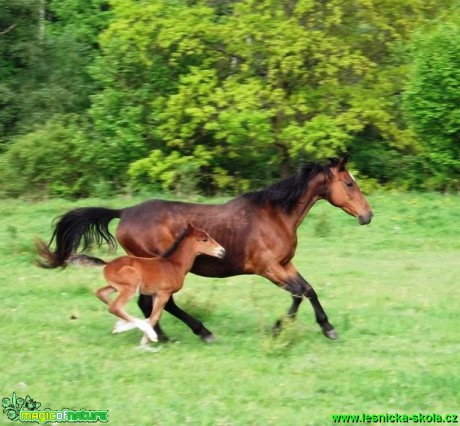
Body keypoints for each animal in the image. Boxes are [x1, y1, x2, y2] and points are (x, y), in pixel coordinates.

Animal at [38, 225, 226, 344]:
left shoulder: (154, 293)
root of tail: (107, 264)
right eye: (203, 239)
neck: (174, 265)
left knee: (102, 295)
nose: (222, 251)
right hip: (131, 285)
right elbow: (153, 317)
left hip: (116, 286)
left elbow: (152, 315)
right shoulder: (163, 293)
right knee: (115, 306)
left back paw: (120, 325)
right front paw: (148, 340)